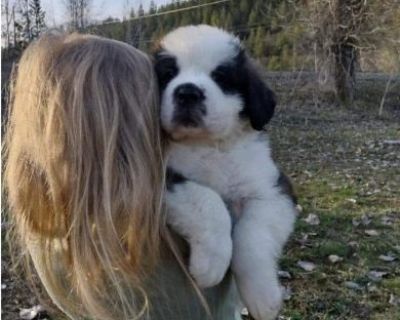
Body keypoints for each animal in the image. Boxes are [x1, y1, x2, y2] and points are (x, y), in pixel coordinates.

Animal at [155, 25, 296, 320]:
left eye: (220, 76)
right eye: (168, 74)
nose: (187, 93)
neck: (208, 145)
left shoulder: (272, 188)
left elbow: (251, 237)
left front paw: (263, 297)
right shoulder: (163, 176)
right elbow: (208, 201)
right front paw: (210, 265)